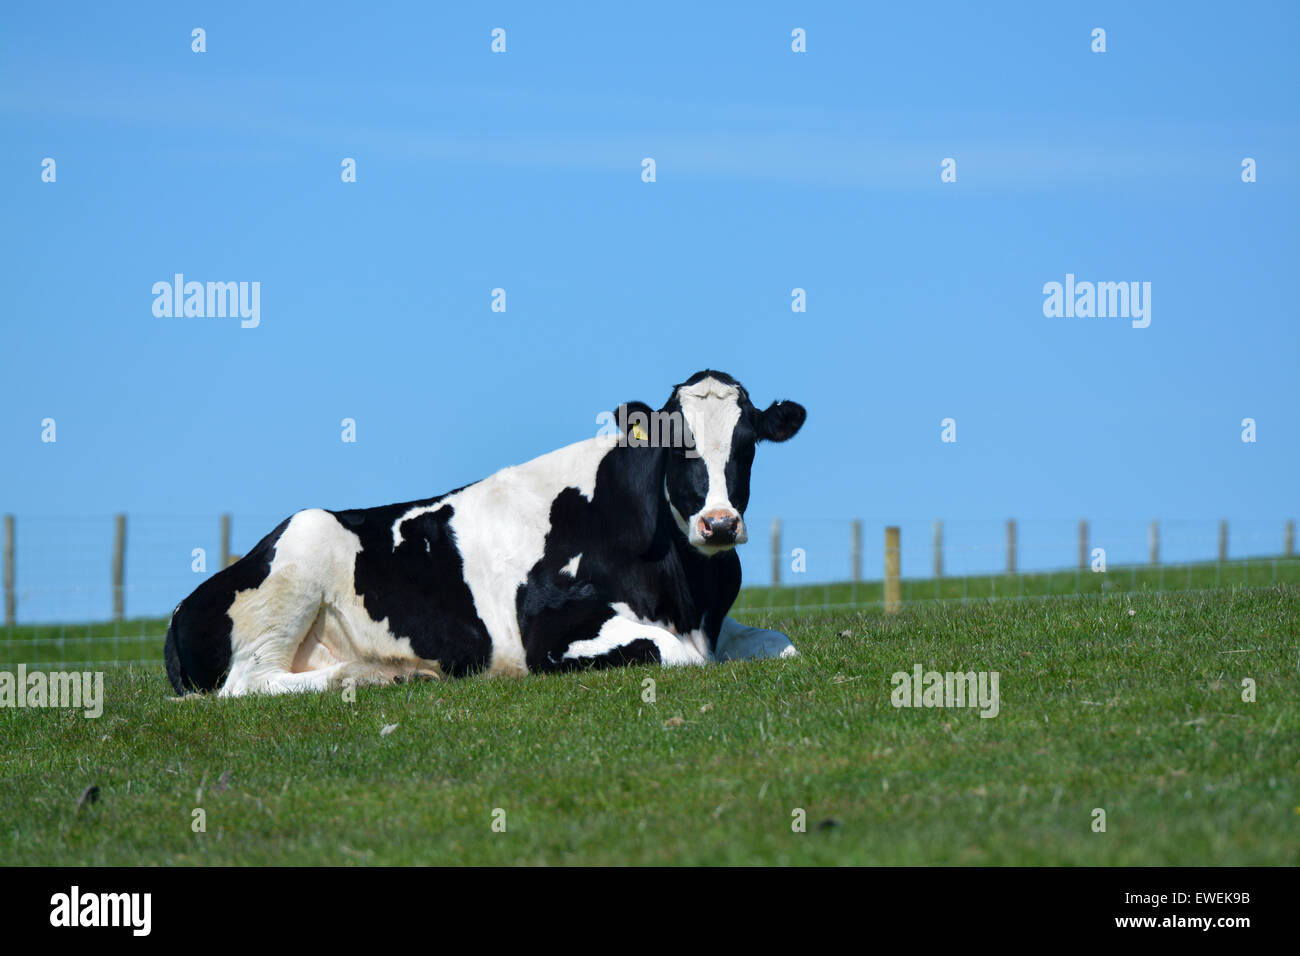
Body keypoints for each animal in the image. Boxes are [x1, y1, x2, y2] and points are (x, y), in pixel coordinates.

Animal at [165, 369, 800, 697]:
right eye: (678, 444)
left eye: (748, 445)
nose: (719, 522)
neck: (686, 595)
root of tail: (182, 608)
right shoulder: (549, 627)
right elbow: (673, 655)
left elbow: (783, 644)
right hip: (300, 550)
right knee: (249, 682)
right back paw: (379, 674)